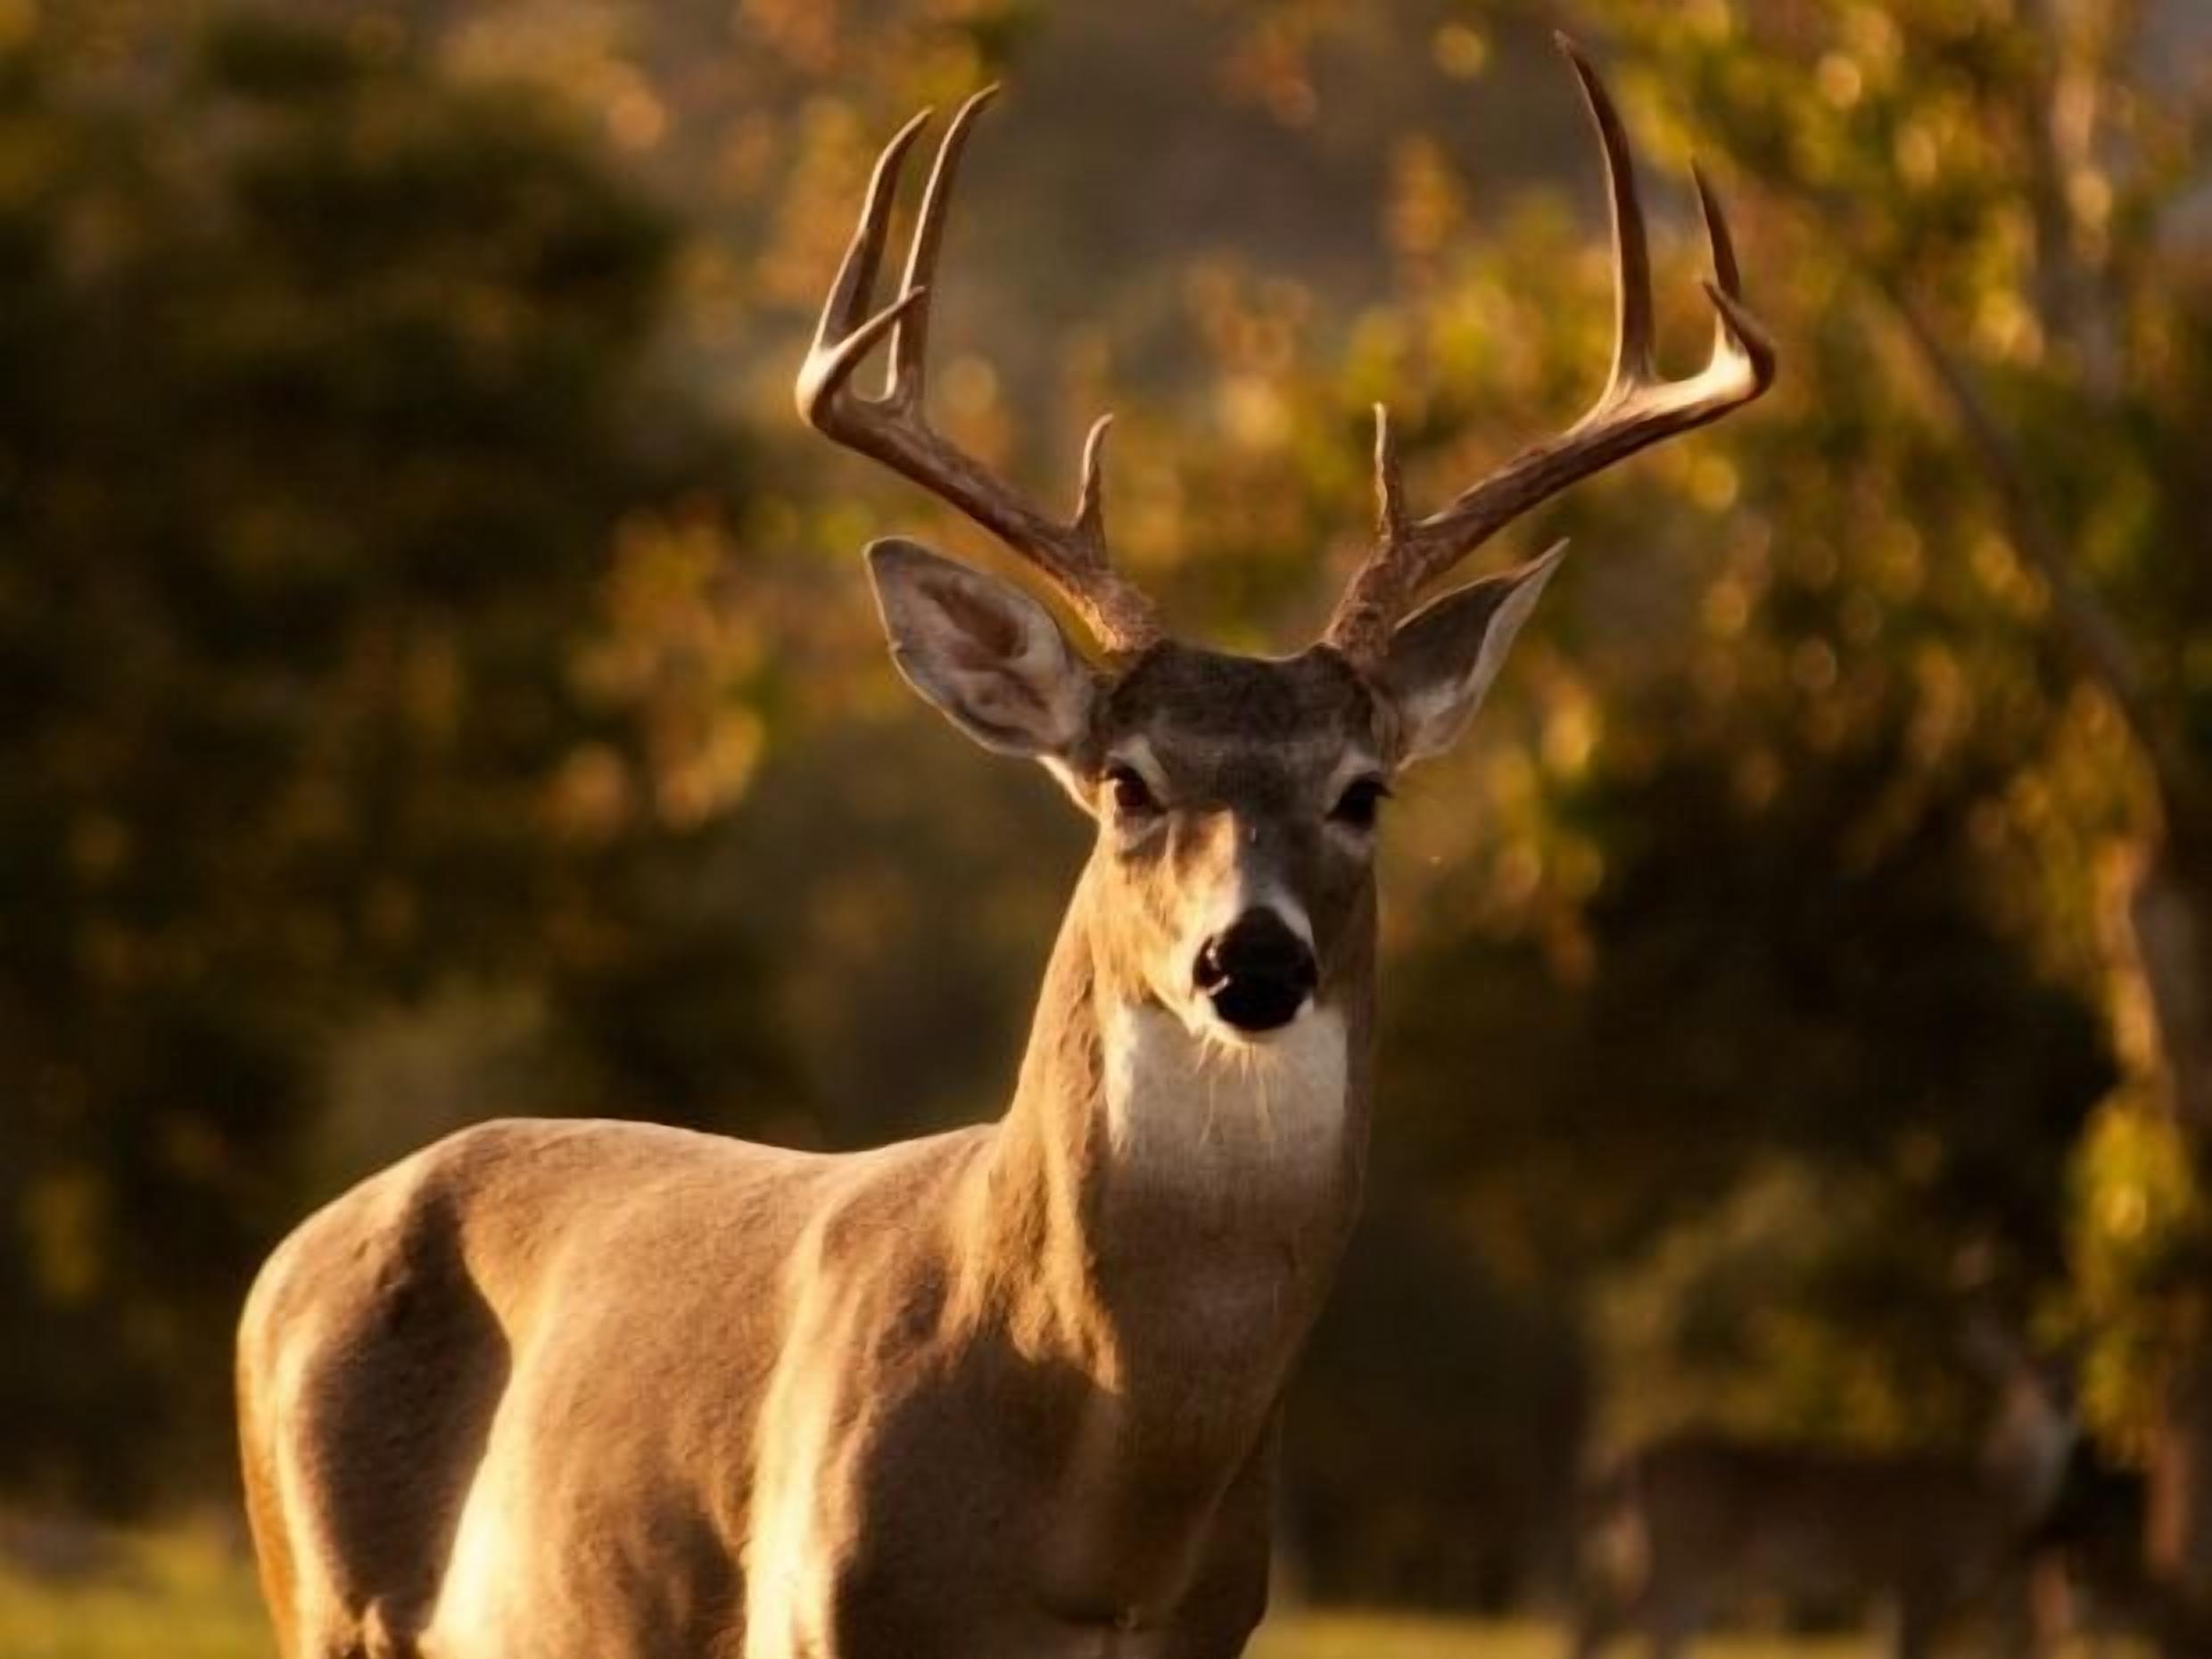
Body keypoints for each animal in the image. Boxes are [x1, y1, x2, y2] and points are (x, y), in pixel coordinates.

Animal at [234, 40, 1772, 1659]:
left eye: (1365, 791)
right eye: (1124, 783)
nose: (1251, 958)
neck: (1094, 1518)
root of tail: (283, 1261)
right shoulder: (816, 1615)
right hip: (317, 1593)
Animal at [1566, 1333, 2080, 1659]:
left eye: (2070, 1374)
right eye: (2025, 1377)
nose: (2064, 1403)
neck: (1990, 1493)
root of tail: (1628, 1463)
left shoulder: (1886, 1586)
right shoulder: (1917, 1570)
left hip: (1680, 1564)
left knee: (1656, 1632)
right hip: (1682, 1553)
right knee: (1603, 1622)